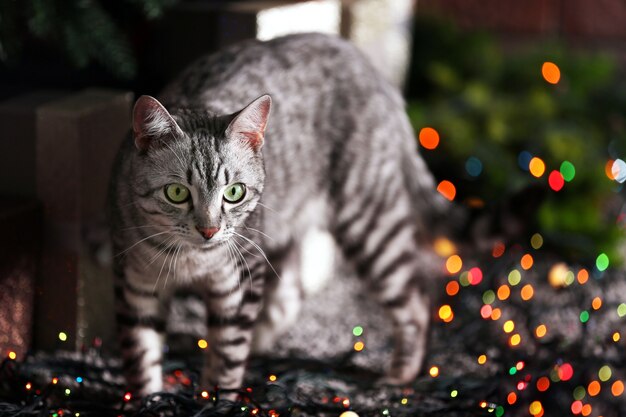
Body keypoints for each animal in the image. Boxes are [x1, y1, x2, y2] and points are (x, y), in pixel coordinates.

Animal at [108, 31, 448, 396]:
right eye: (177, 193)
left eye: (234, 192)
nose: (209, 230)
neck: (190, 260)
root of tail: (367, 65)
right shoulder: (136, 285)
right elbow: (141, 358)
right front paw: (149, 400)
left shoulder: (239, 280)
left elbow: (226, 358)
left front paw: (215, 399)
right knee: (290, 297)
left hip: (370, 219)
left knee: (416, 300)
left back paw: (401, 375)